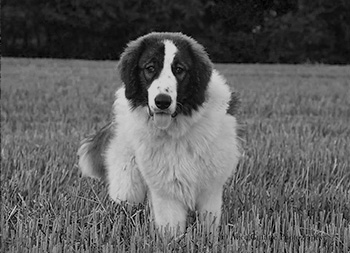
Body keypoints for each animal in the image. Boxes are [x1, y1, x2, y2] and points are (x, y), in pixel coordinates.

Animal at [77, 32, 241, 234]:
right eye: (150, 68)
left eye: (179, 69)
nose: (162, 101)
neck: (179, 130)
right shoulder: (165, 187)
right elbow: (171, 227)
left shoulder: (210, 188)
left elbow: (208, 224)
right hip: (127, 183)